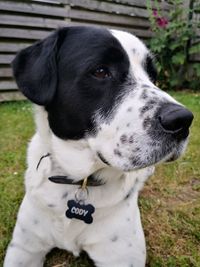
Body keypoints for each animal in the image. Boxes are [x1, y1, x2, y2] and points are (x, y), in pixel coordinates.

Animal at [3, 26, 193, 267]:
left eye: (153, 76)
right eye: (101, 71)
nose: (182, 120)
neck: (79, 181)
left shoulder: (122, 259)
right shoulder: (24, 248)